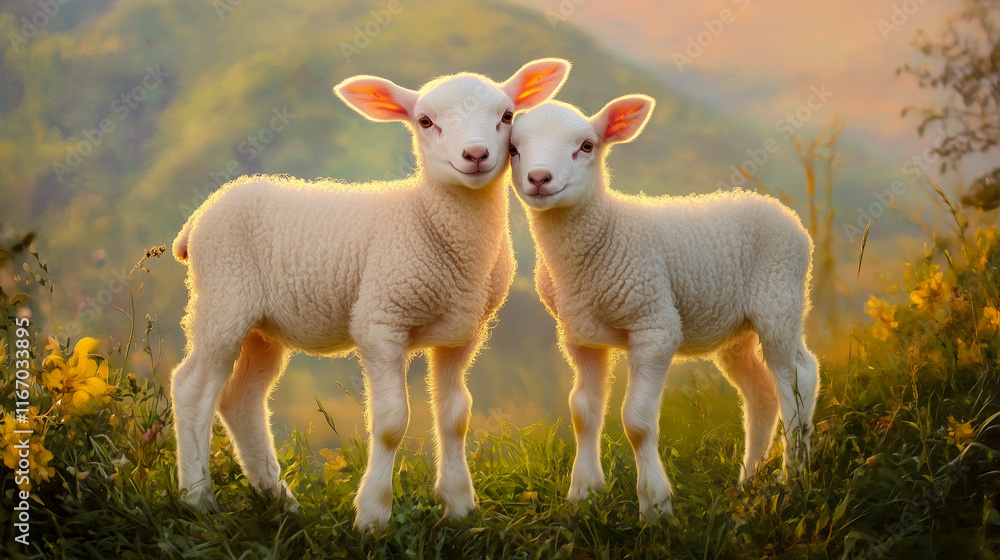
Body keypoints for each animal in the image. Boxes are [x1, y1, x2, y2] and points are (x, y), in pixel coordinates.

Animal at [169, 58, 571, 531]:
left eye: (507, 116)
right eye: (425, 121)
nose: (475, 155)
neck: (428, 220)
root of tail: (197, 218)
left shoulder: (462, 332)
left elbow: (455, 417)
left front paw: (459, 506)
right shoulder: (381, 320)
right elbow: (391, 422)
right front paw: (373, 514)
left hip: (262, 326)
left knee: (241, 401)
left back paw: (281, 501)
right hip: (223, 295)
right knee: (193, 388)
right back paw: (198, 500)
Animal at [507, 95, 820, 520]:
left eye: (587, 146)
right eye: (513, 149)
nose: (539, 178)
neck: (604, 234)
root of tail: (778, 207)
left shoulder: (654, 326)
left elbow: (637, 421)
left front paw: (655, 506)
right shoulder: (581, 336)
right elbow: (583, 413)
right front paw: (583, 494)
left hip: (780, 299)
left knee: (798, 378)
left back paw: (793, 476)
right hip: (736, 330)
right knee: (761, 395)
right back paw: (748, 481)